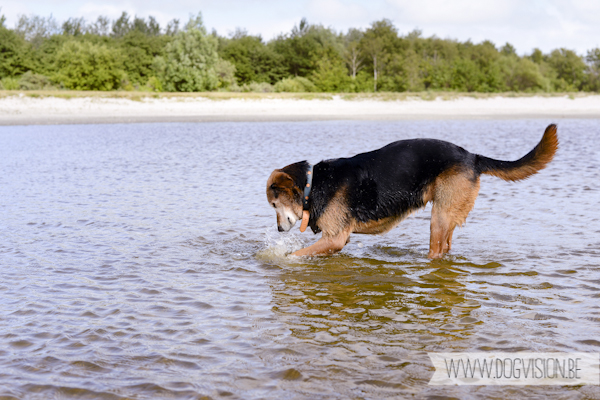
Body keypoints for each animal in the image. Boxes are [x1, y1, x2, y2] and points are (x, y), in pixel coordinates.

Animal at [268, 123, 556, 258]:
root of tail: (472, 157)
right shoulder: (336, 241)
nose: (279, 230)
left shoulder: (335, 238)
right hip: (447, 216)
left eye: (273, 205)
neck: (313, 184)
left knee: (437, 252)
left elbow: (295, 255)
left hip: (439, 217)